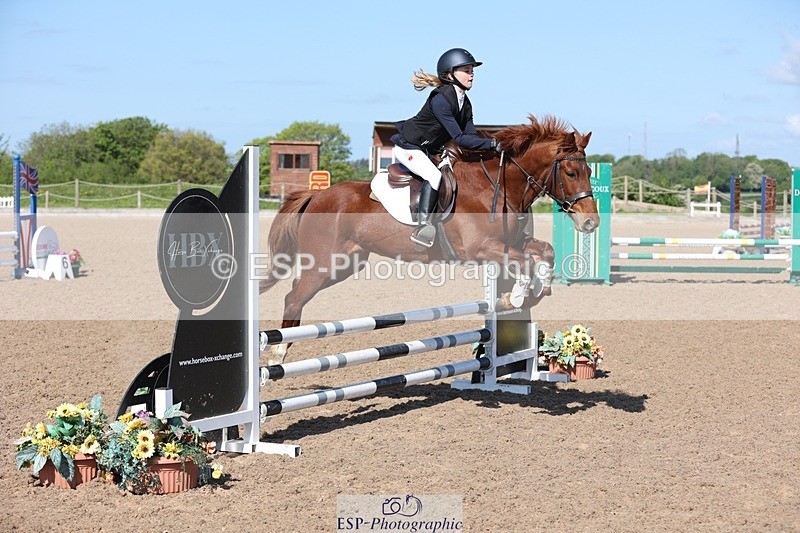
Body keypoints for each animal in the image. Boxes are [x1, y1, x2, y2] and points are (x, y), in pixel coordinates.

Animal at [260, 115, 599, 363]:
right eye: (571, 173)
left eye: (589, 172)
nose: (591, 222)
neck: (496, 186)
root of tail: (316, 196)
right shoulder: (480, 249)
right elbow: (526, 262)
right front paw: (515, 297)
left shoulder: (510, 244)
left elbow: (545, 251)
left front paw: (539, 290)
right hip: (326, 263)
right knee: (294, 297)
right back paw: (277, 352)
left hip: (346, 264)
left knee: (296, 291)